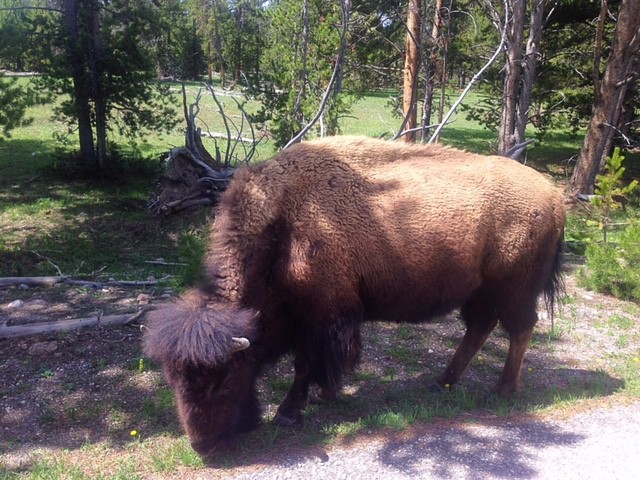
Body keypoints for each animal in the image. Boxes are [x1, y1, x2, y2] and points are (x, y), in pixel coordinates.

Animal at [141, 135, 564, 454]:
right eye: (173, 380)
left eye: (225, 379)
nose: (203, 445)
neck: (284, 225)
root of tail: (554, 195)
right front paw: (324, 396)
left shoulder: (321, 316)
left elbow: (305, 365)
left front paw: (290, 412)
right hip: (479, 292)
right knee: (479, 328)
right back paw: (442, 381)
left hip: (514, 290)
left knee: (519, 328)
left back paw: (502, 390)